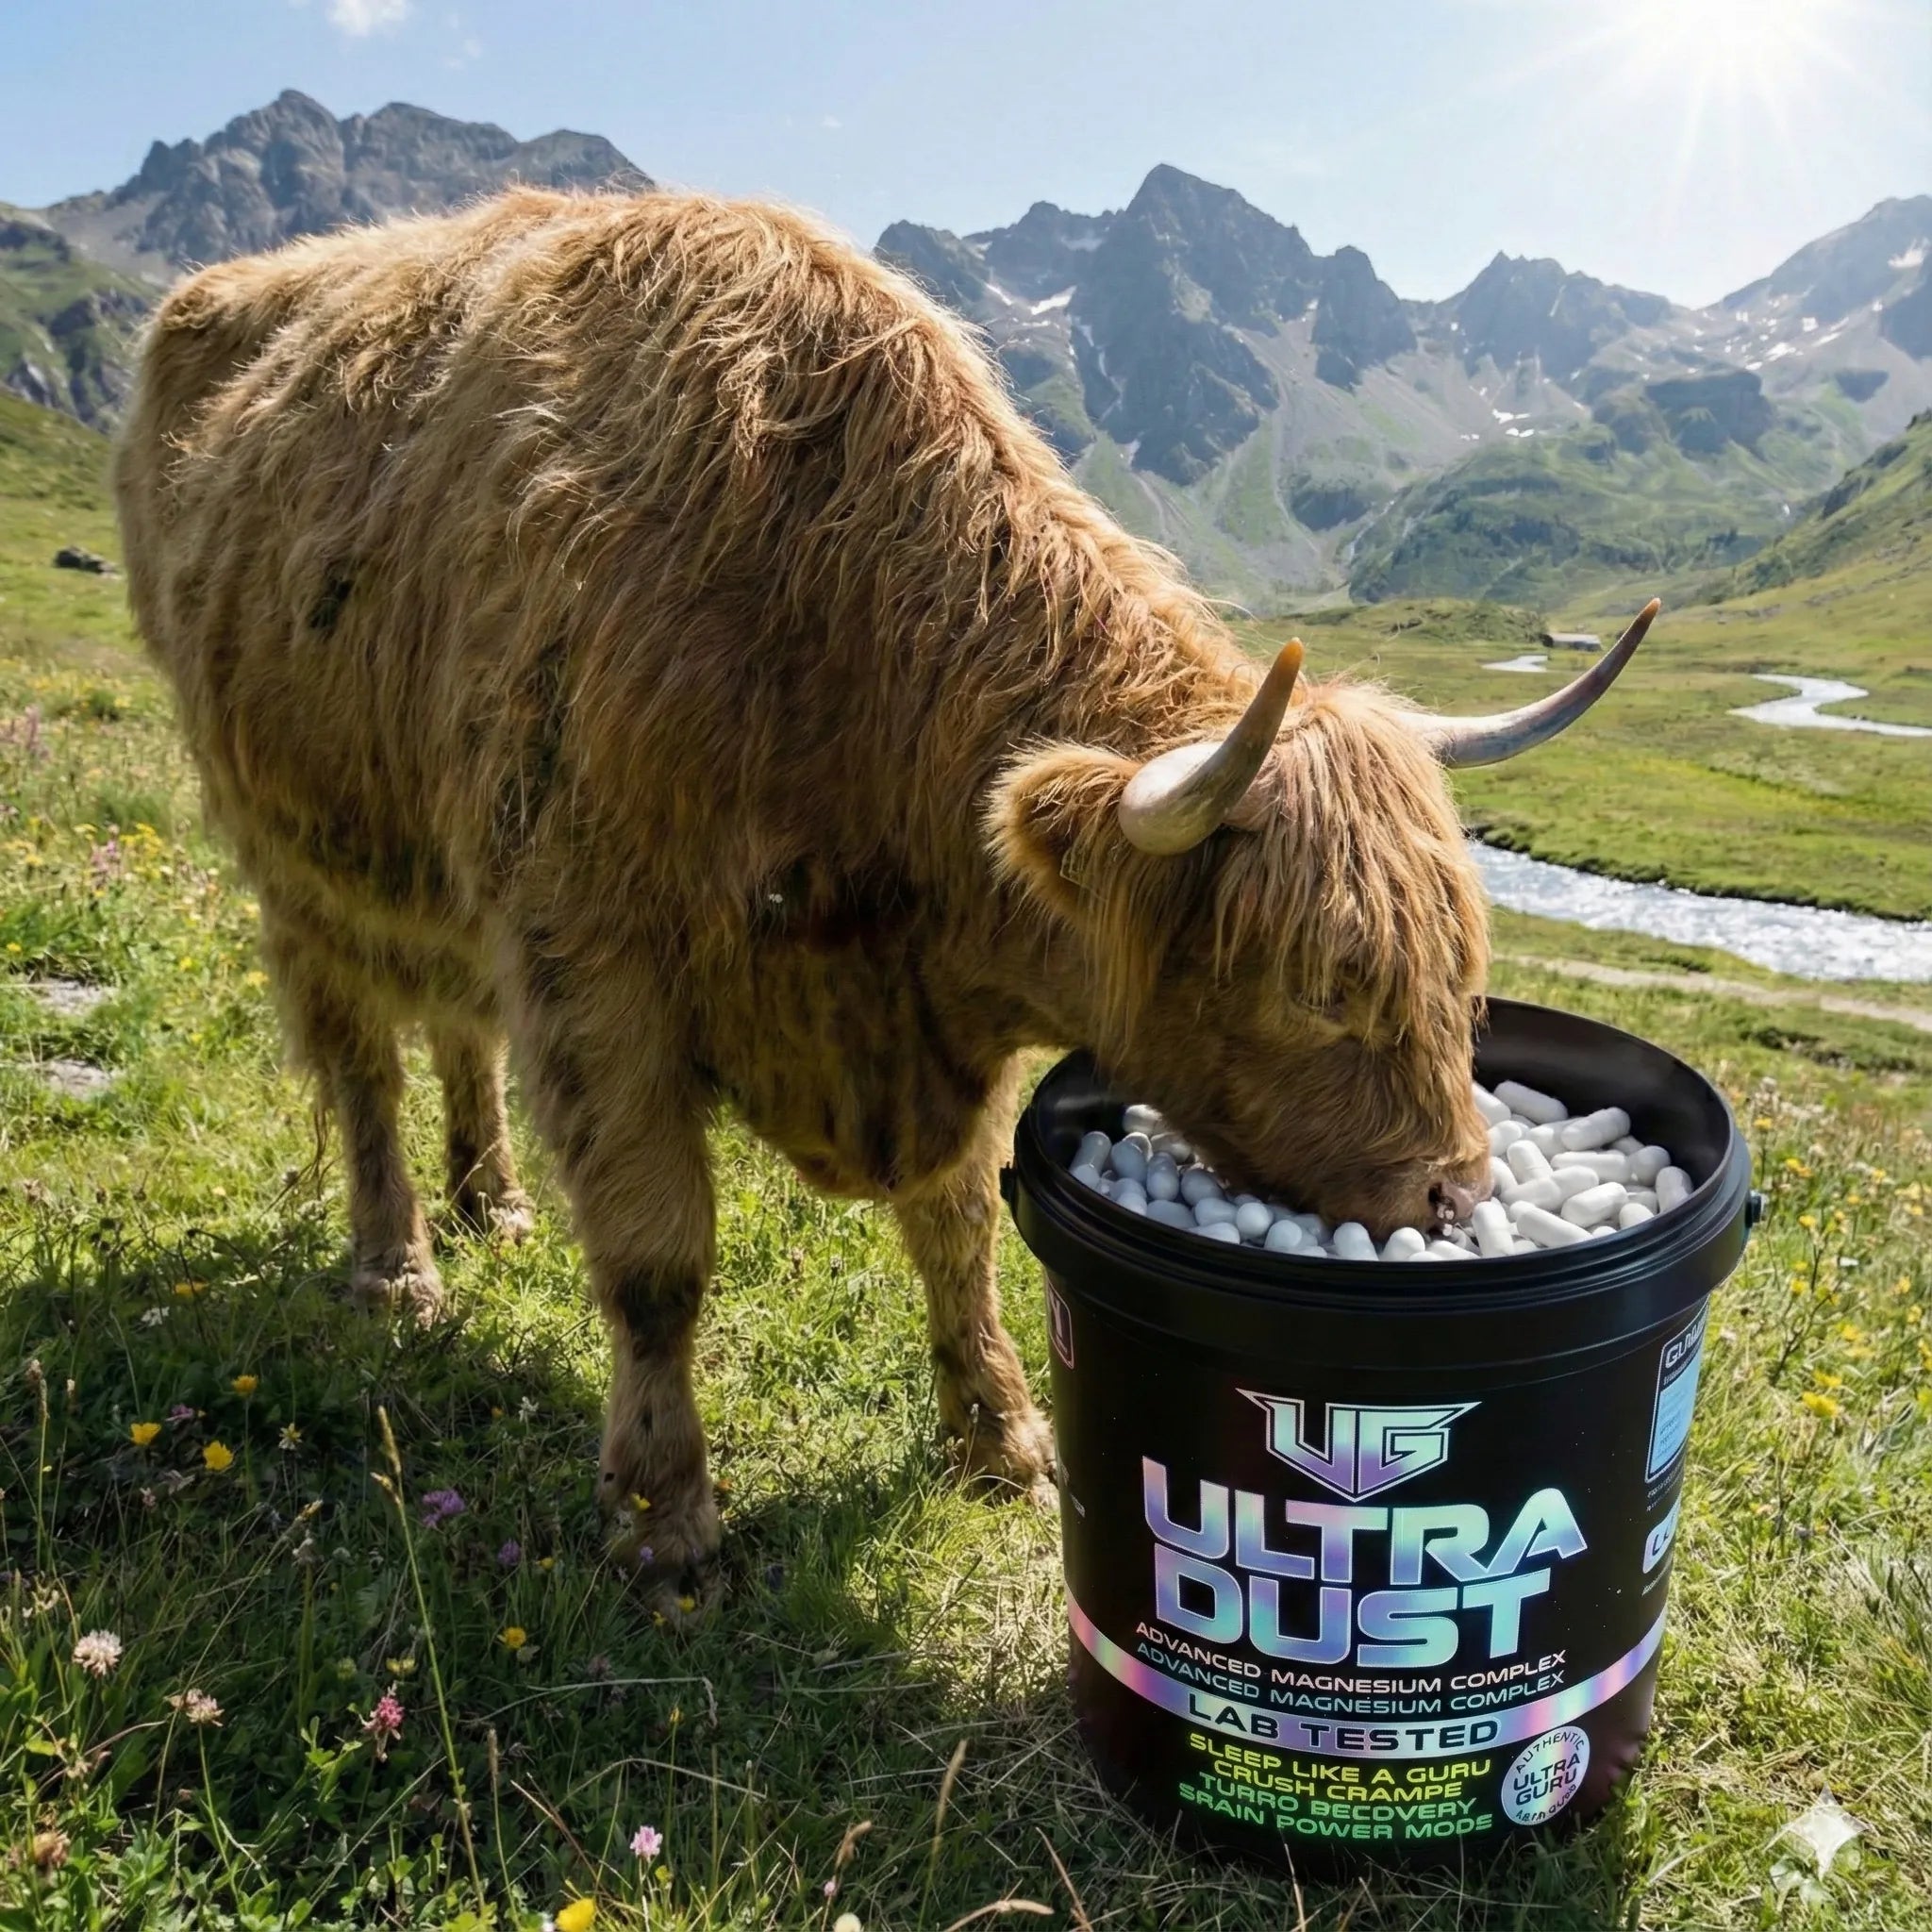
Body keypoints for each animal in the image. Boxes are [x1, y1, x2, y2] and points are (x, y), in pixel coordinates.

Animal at [114, 188, 1652, 1609]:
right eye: (1319, 987)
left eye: (1462, 971)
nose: (1454, 1194)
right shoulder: (590, 965)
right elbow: (658, 1259)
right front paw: (664, 1520)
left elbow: (958, 1224)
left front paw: (1002, 1439)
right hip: (287, 856)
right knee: (358, 1057)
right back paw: (399, 1266)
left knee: (452, 1028)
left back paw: (493, 1201)